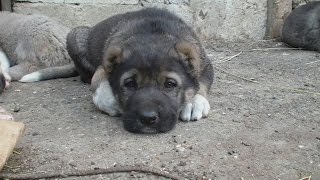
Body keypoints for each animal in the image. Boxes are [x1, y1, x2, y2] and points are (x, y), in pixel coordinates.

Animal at [66, 7, 214, 133]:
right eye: (130, 83)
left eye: (169, 84)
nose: (147, 119)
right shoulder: (102, 67)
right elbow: (100, 88)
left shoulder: (205, 64)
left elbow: (201, 84)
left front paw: (194, 103)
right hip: (74, 36)